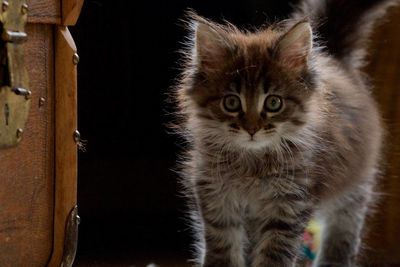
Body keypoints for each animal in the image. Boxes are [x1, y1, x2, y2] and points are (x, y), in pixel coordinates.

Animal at [171, 1, 396, 266]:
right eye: (231, 103)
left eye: (273, 103)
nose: (252, 129)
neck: (251, 164)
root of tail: (332, 55)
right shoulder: (217, 201)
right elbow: (223, 252)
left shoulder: (290, 204)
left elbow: (274, 255)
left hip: (354, 186)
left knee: (344, 230)